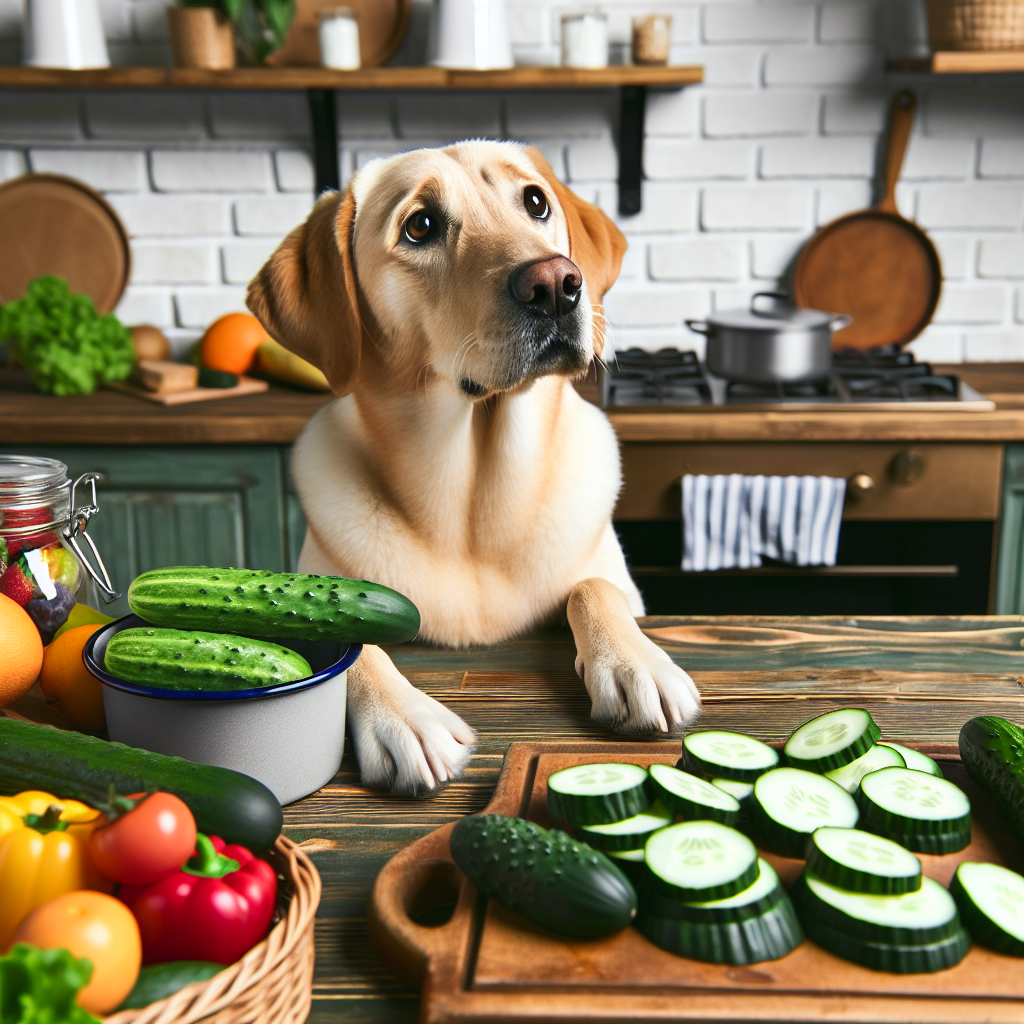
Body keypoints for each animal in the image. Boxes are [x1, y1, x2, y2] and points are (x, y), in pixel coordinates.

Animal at [245, 142, 704, 798]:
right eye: (420, 226)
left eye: (535, 201)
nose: (557, 284)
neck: (474, 502)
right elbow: (354, 646)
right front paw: (403, 718)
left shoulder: (612, 582)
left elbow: (593, 587)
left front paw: (635, 663)